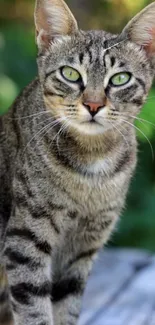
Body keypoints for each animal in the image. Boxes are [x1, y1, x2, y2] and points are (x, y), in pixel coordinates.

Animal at [0, 0, 155, 322]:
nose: (93, 105)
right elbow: (34, 309)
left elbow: (66, 307)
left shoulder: (82, 248)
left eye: (120, 78)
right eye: (71, 74)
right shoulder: (25, 239)